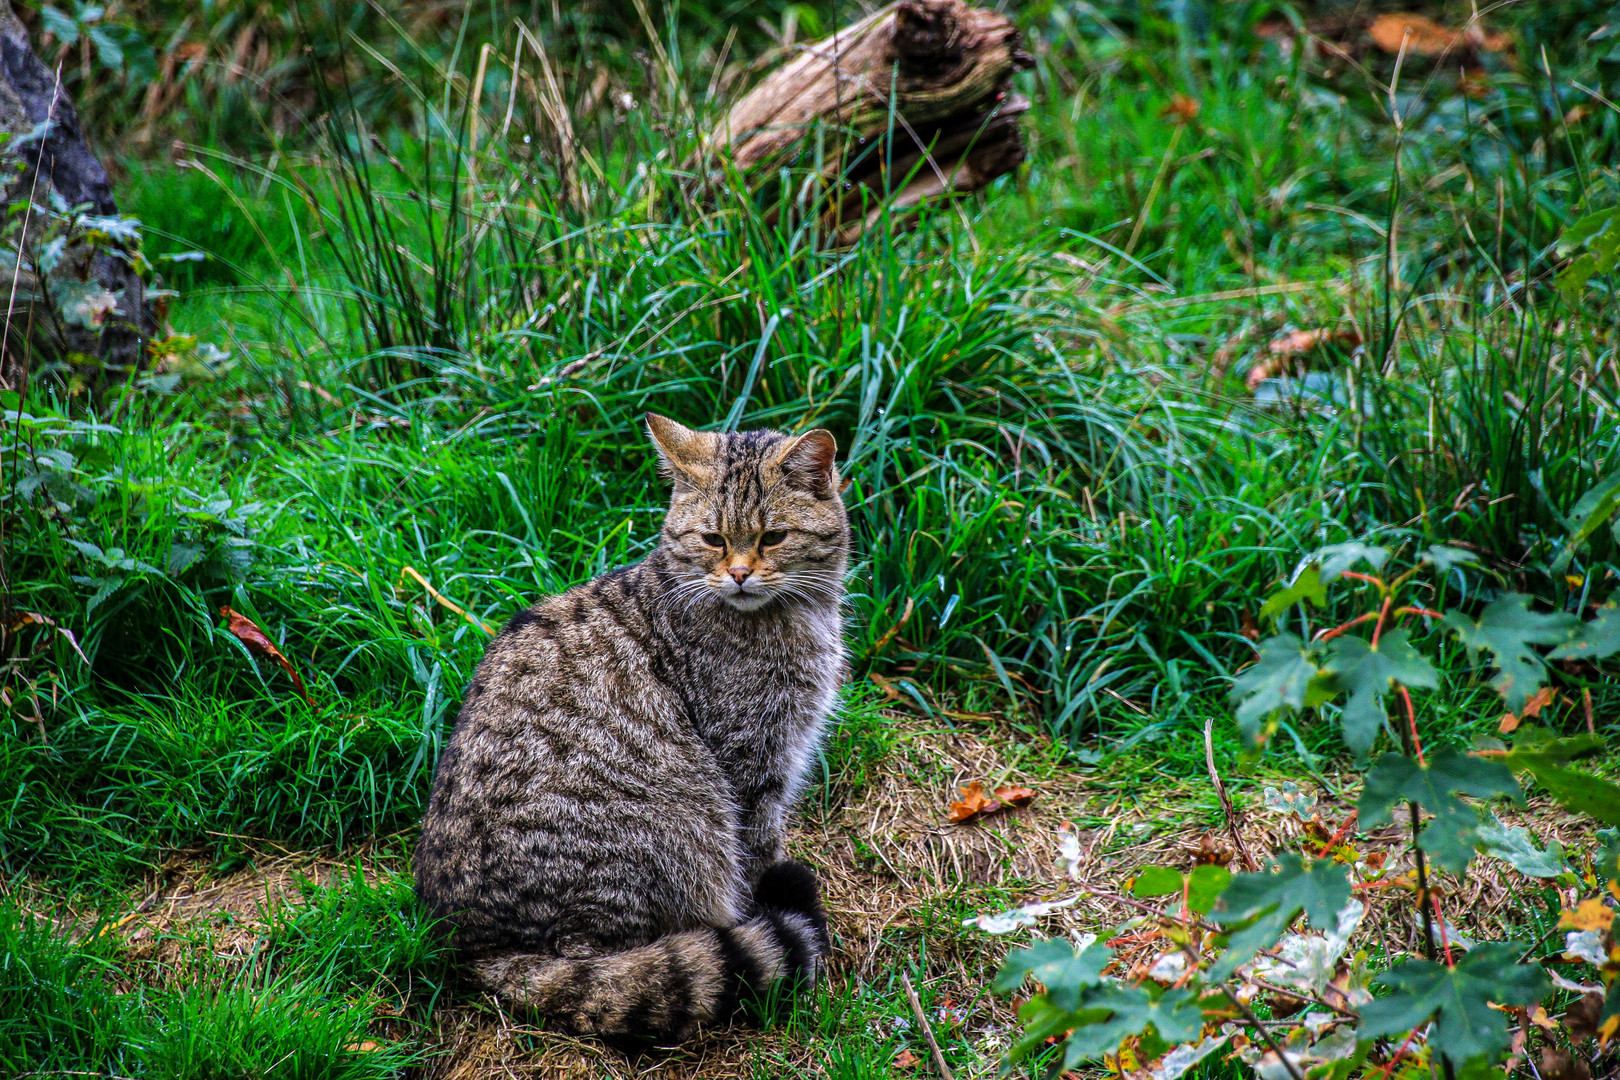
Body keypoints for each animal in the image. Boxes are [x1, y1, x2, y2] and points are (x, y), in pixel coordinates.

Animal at [414, 409, 848, 1042]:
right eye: (713, 539)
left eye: (773, 538)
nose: (740, 575)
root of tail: (470, 943)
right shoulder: (751, 766)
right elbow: (760, 853)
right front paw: (767, 910)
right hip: (670, 838)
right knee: (613, 967)